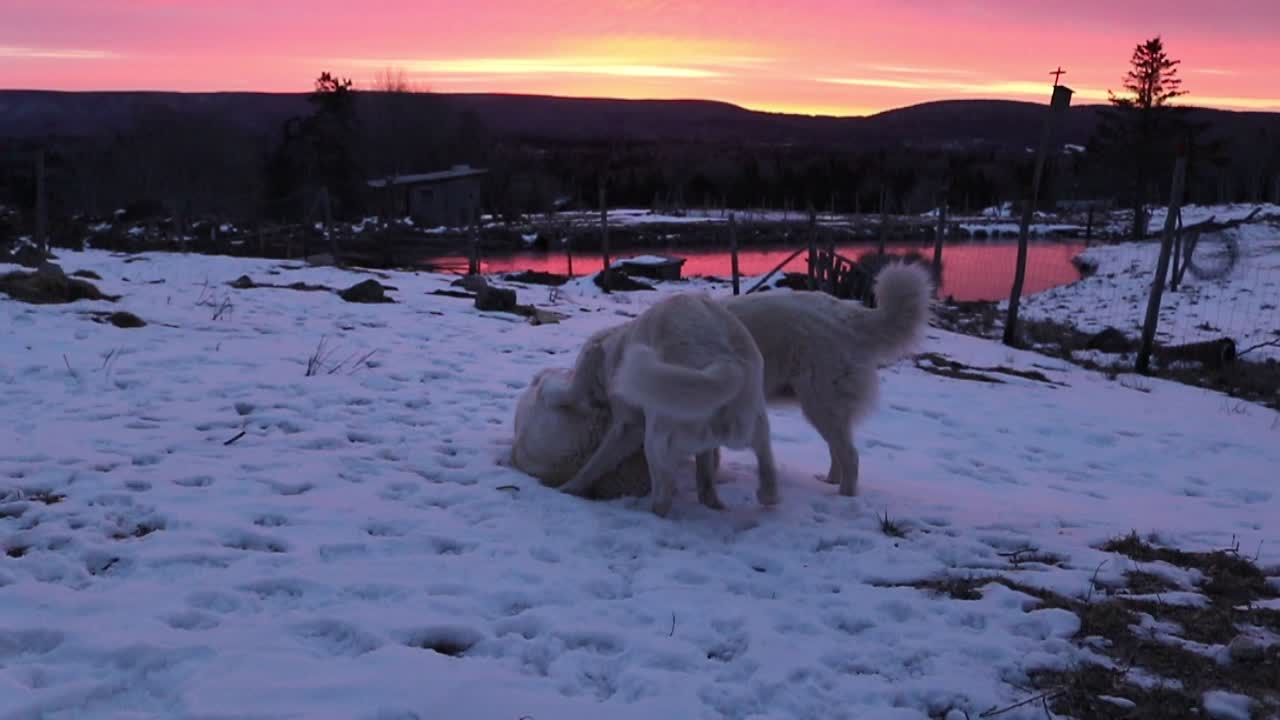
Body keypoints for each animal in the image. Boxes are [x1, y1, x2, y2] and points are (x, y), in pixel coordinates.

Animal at [514, 292, 773, 515]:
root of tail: (725, 363)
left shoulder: (624, 424)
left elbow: (594, 460)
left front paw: (569, 488)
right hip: (753, 425)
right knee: (764, 472)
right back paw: (749, 498)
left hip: (657, 442)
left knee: (663, 500)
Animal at [721, 260, 931, 497]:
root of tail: (849, 315)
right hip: (825, 408)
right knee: (837, 451)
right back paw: (830, 482)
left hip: (821, 404)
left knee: (850, 456)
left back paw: (844, 496)